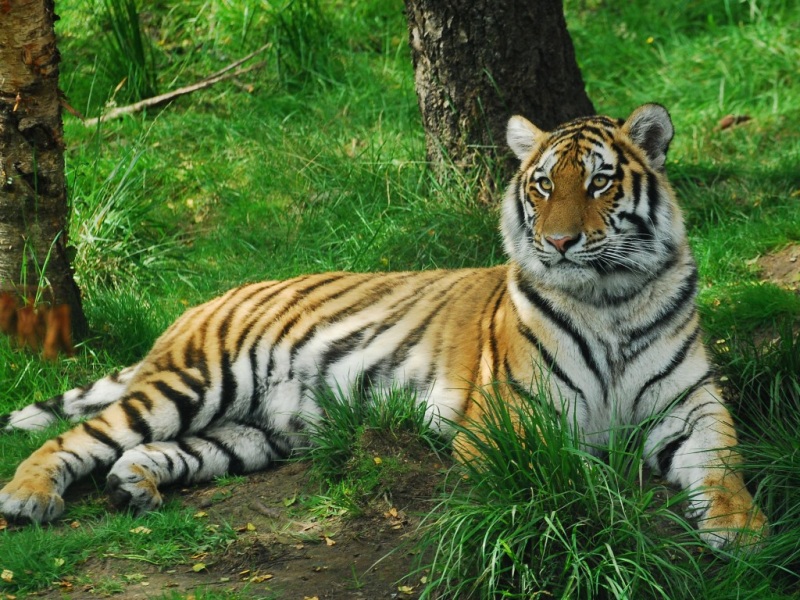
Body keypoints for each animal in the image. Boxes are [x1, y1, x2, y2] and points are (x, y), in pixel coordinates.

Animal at [0, 104, 766, 549]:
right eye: (544, 184)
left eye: (601, 182)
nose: (558, 243)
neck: (610, 301)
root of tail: (197, 304)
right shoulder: (513, 421)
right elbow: (574, 475)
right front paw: (609, 506)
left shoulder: (691, 406)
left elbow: (724, 466)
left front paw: (744, 530)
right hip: (196, 381)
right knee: (77, 437)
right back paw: (27, 498)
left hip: (252, 432)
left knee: (156, 451)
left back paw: (134, 487)